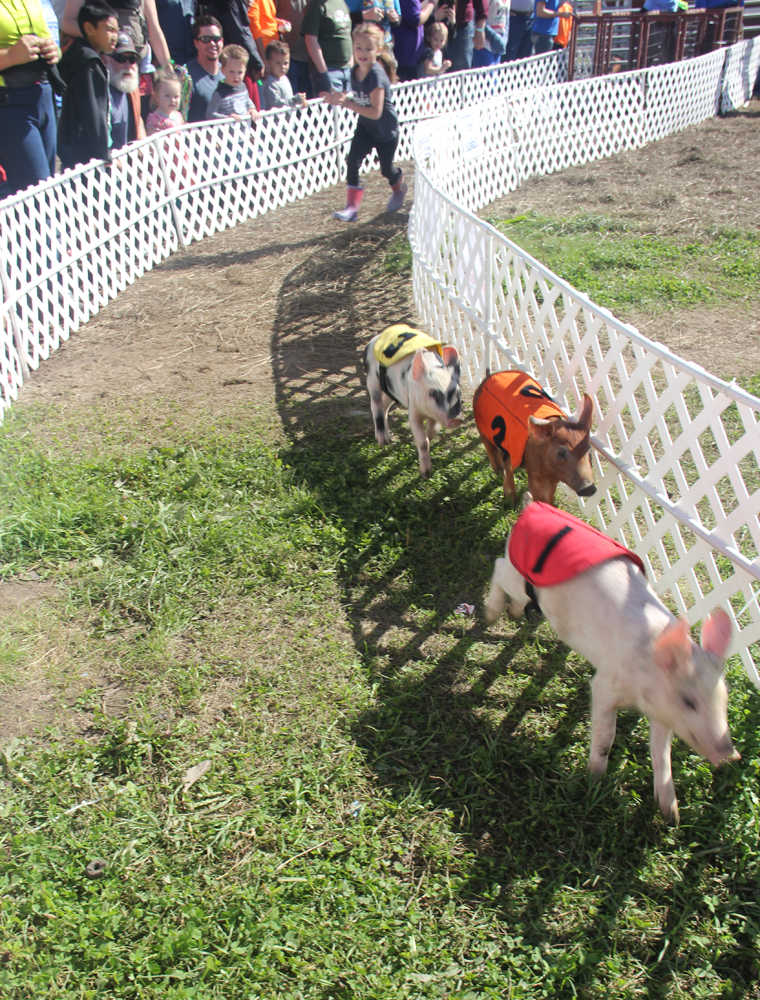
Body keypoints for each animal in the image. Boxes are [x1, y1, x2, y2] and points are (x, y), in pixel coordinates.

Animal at [364, 323, 463, 478]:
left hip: (392, 393)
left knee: (385, 406)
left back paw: (389, 438)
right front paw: (425, 474)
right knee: (376, 406)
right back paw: (383, 442)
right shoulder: (413, 408)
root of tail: (373, 340)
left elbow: (432, 431)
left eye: (458, 392)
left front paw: (429, 436)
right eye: (433, 393)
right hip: (372, 381)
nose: (457, 419)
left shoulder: (435, 415)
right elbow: (422, 441)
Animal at [472, 370, 596, 505]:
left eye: (589, 451)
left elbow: (548, 497)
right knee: (492, 452)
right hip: (481, 429)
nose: (590, 488)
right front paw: (513, 503)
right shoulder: (534, 474)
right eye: (561, 452)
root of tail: (489, 376)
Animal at [485, 500, 739, 824]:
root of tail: (534, 505)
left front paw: (671, 815)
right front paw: (594, 781)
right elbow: (606, 736)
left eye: (724, 700)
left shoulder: (662, 713)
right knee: (497, 566)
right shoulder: (605, 684)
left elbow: (662, 755)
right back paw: (490, 615)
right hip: (516, 575)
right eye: (689, 701)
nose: (731, 755)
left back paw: (516, 614)